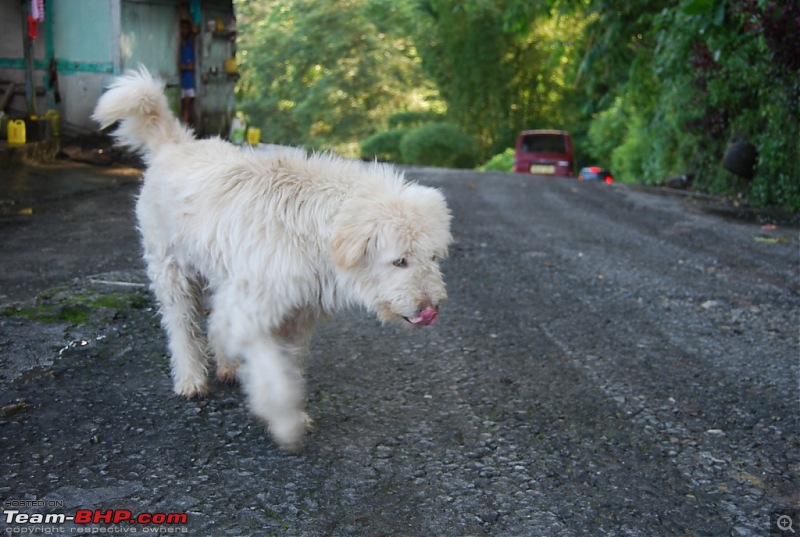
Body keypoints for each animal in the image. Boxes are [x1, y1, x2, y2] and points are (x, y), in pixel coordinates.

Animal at [91, 69, 454, 450]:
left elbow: (286, 367)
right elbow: (271, 373)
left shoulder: (296, 317)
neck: (313, 231)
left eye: (432, 256)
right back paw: (190, 378)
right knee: (182, 325)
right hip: (171, 270)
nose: (430, 308)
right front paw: (285, 422)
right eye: (399, 261)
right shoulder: (252, 309)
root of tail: (176, 143)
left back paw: (227, 366)